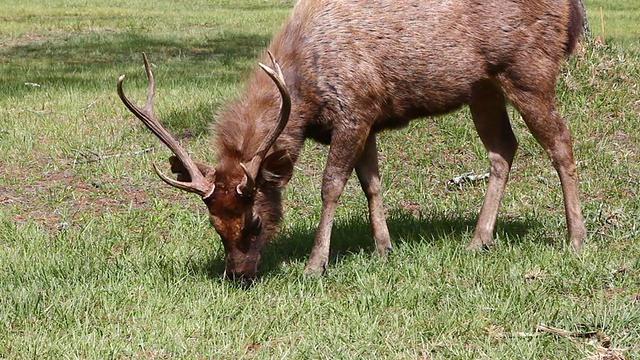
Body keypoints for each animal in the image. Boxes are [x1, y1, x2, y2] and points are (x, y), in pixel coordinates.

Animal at [117, 0, 588, 278]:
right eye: (214, 225)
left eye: (254, 222)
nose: (239, 275)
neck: (304, 95)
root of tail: (571, 8)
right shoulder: (370, 118)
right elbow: (371, 183)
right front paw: (384, 248)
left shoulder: (355, 109)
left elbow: (332, 186)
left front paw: (315, 264)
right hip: (484, 87)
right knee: (503, 149)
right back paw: (478, 240)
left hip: (529, 68)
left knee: (561, 142)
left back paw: (575, 239)